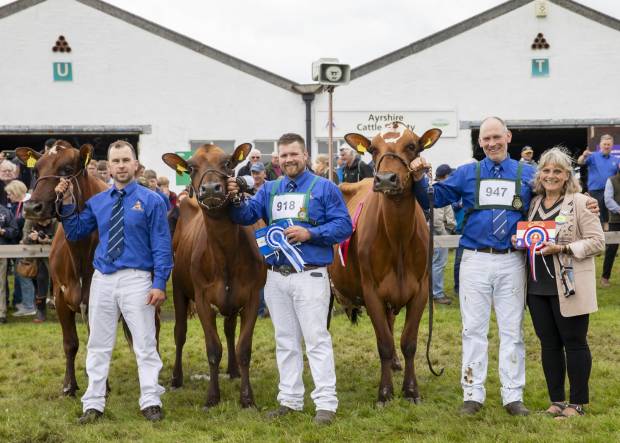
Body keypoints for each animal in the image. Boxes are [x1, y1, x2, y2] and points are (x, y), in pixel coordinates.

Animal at [16, 140, 109, 398]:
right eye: (36, 170)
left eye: (66, 170)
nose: (32, 207)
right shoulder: (59, 295)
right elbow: (71, 343)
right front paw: (69, 385)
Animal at [162, 143, 266, 410]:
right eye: (190, 167)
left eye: (228, 163)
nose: (210, 188)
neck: (225, 256)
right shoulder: (201, 298)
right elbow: (212, 349)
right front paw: (212, 397)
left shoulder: (252, 296)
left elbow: (243, 348)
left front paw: (247, 397)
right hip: (179, 288)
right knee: (179, 333)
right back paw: (176, 378)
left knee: (229, 330)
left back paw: (233, 370)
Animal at [330, 121, 440, 406]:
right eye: (372, 149)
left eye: (412, 146)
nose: (386, 179)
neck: (398, 239)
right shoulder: (372, 292)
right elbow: (384, 344)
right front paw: (385, 393)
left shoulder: (420, 290)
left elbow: (408, 342)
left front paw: (411, 390)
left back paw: (396, 364)